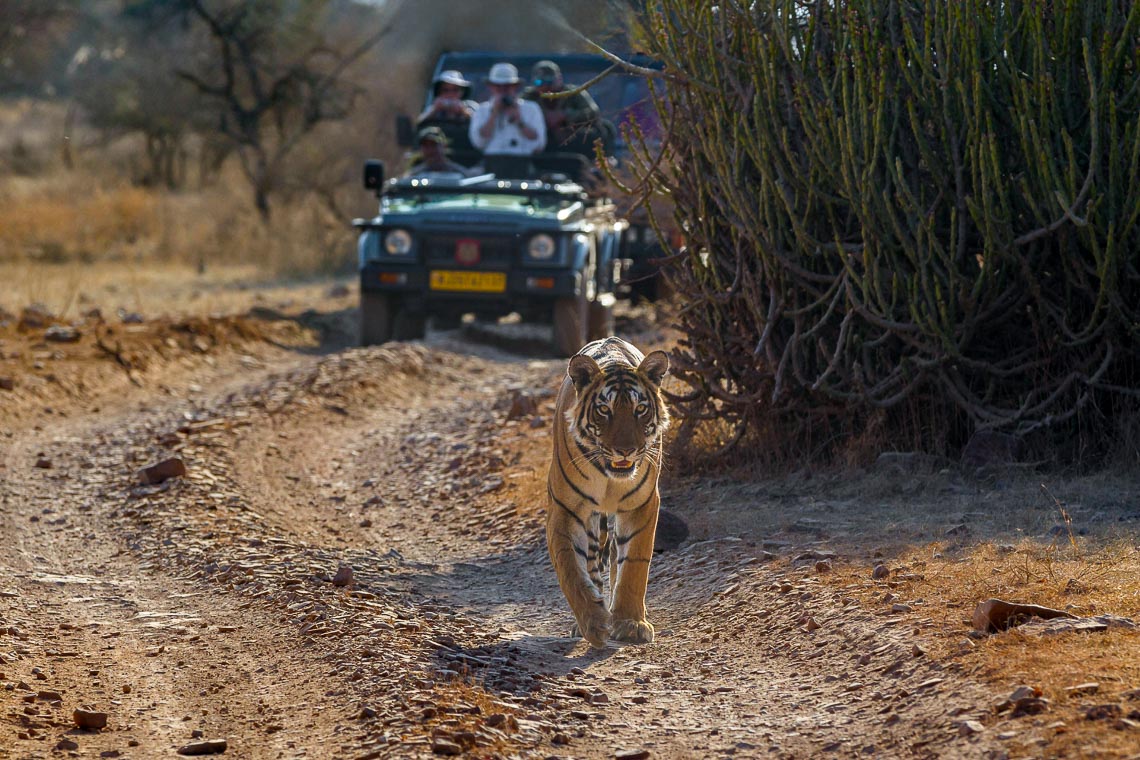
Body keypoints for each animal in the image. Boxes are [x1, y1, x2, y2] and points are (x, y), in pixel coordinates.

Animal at [542, 339, 665, 647]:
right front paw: (593, 622)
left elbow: (634, 566)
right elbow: (571, 569)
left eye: (640, 409)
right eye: (604, 410)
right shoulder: (565, 509)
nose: (625, 450)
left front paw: (631, 623)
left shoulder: (642, 504)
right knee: (593, 561)